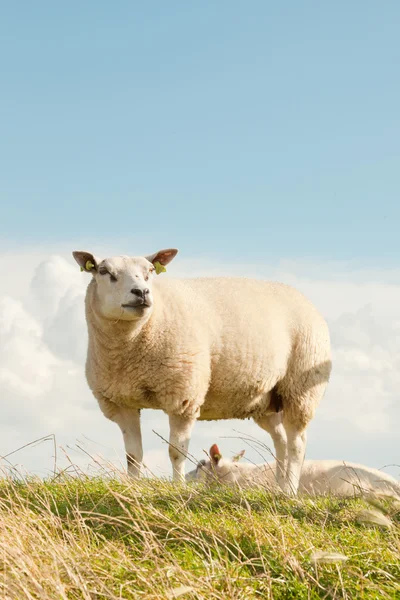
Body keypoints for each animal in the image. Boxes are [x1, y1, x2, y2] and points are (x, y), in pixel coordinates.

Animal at [72, 246, 332, 494]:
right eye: (104, 271)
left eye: (150, 272)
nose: (142, 293)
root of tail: (303, 297)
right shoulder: (122, 403)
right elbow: (133, 456)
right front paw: (133, 488)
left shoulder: (183, 396)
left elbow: (176, 452)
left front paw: (177, 489)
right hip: (267, 399)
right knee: (281, 441)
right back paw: (278, 486)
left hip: (301, 387)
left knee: (297, 444)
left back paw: (289, 490)